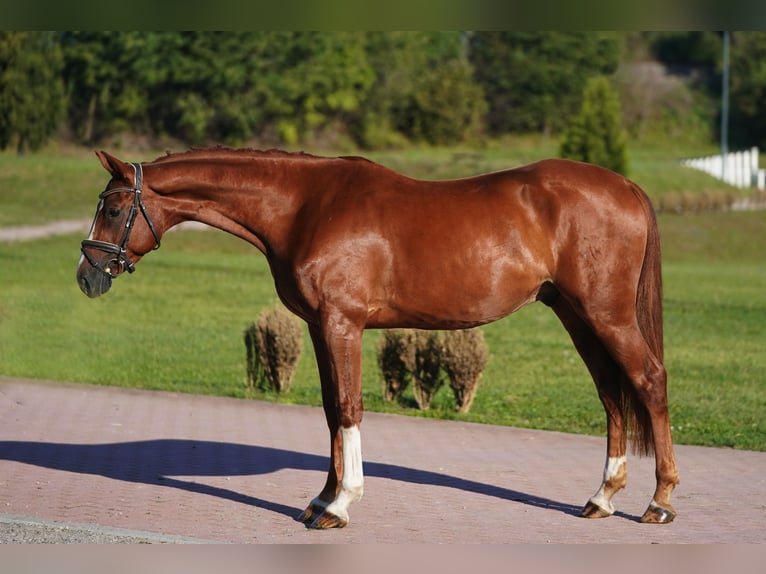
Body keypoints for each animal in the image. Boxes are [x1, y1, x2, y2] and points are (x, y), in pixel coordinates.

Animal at [76, 150, 680, 532]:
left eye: (113, 208)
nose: (88, 276)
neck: (305, 206)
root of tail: (625, 187)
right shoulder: (320, 326)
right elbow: (329, 410)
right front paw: (320, 499)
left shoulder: (341, 323)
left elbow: (348, 407)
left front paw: (341, 504)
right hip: (576, 315)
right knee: (611, 394)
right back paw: (602, 497)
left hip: (606, 316)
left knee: (648, 382)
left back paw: (659, 502)